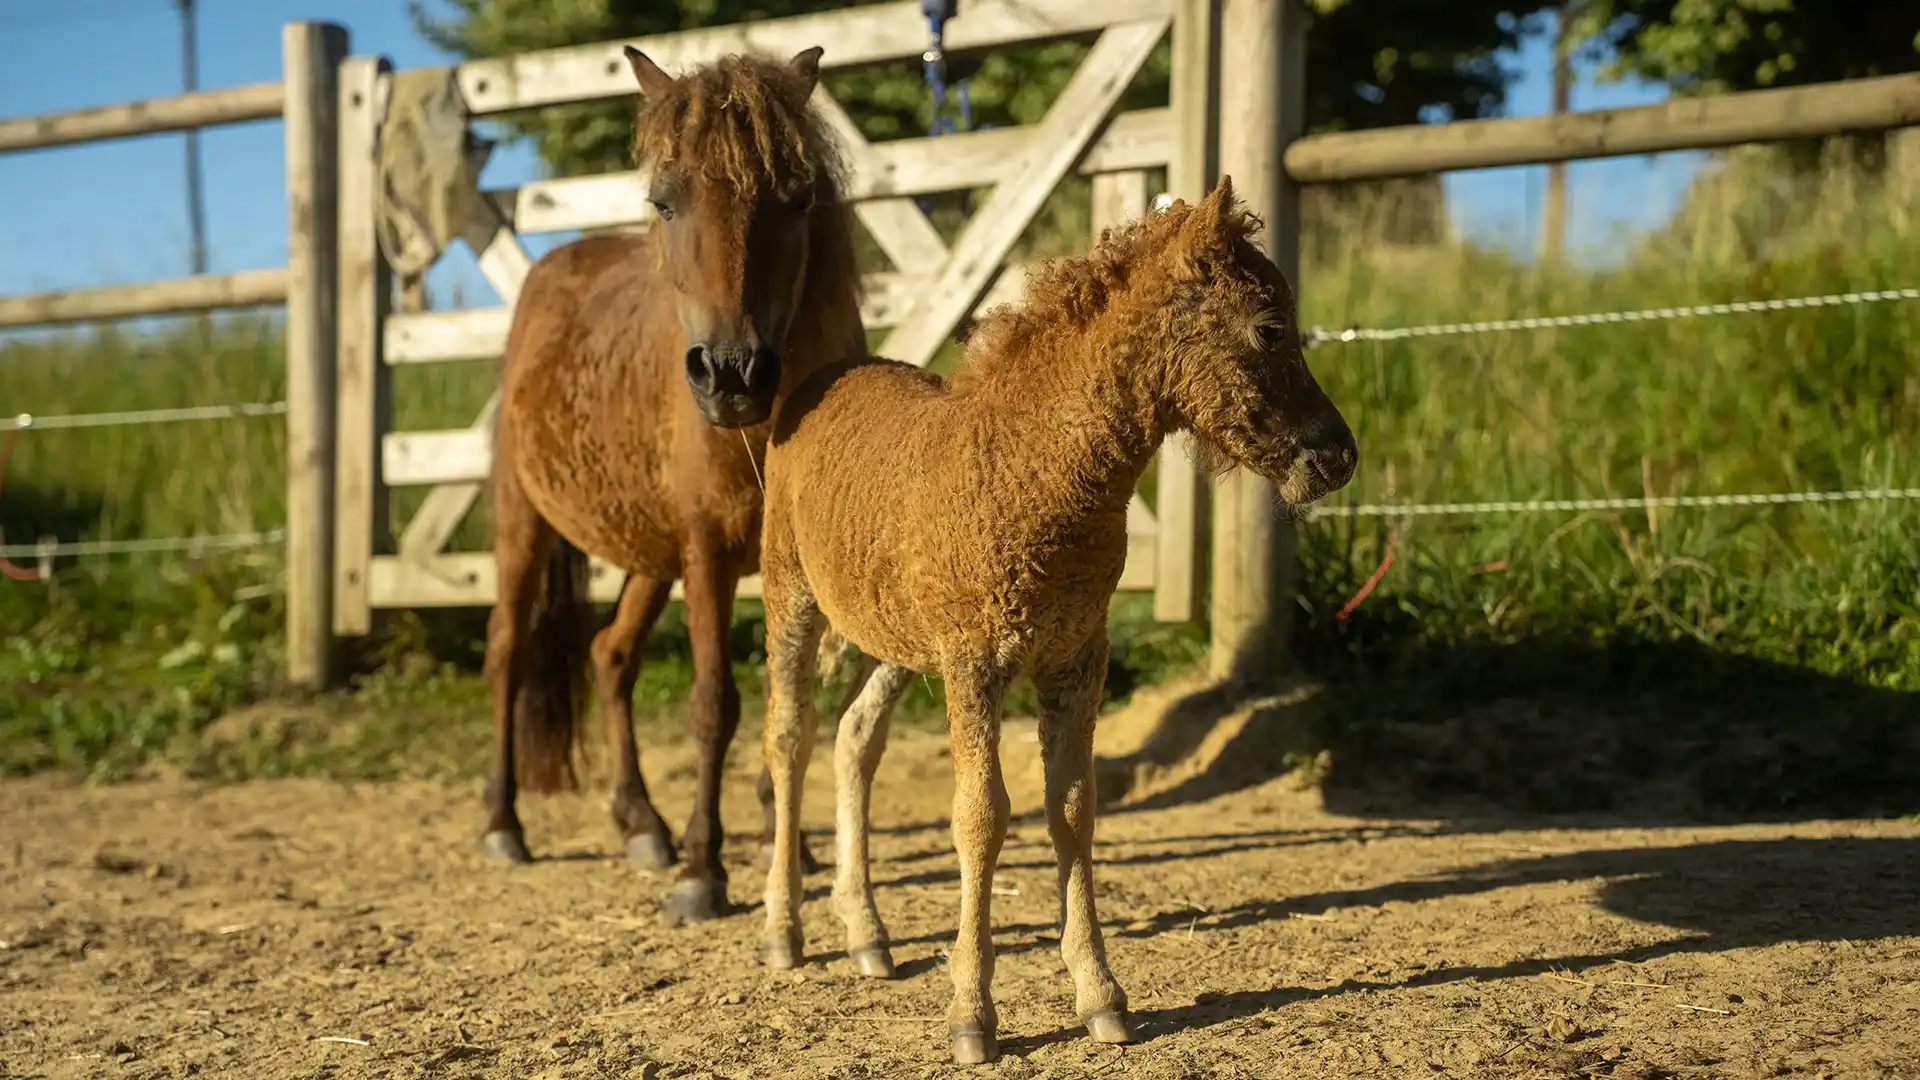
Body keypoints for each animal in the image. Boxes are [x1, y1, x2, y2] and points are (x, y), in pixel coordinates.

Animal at [481, 45, 863, 923]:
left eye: (798, 198)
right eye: (665, 201)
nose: (732, 374)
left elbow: (787, 701)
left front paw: (786, 845)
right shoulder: (708, 554)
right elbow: (715, 703)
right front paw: (703, 869)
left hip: (651, 557)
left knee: (609, 654)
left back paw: (640, 822)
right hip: (529, 525)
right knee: (508, 652)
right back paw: (504, 823)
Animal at [754, 176, 1358, 1063]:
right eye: (1271, 325)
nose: (1338, 456)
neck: (1037, 469)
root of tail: (821, 381)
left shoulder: (1077, 654)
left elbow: (1072, 808)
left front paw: (1101, 997)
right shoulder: (975, 660)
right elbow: (981, 817)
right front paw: (972, 1015)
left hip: (899, 640)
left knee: (853, 739)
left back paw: (867, 933)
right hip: (790, 597)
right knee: (789, 738)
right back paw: (783, 930)